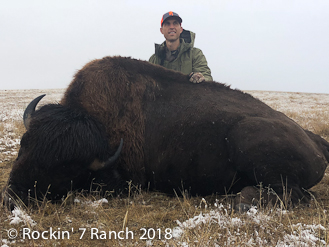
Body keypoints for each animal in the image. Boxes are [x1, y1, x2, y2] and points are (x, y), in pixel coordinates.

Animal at [0, 56, 328, 210]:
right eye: (24, 144)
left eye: (65, 167)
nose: (12, 198)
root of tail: (315, 142)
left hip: (247, 138)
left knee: (293, 193)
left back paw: (238, 200)